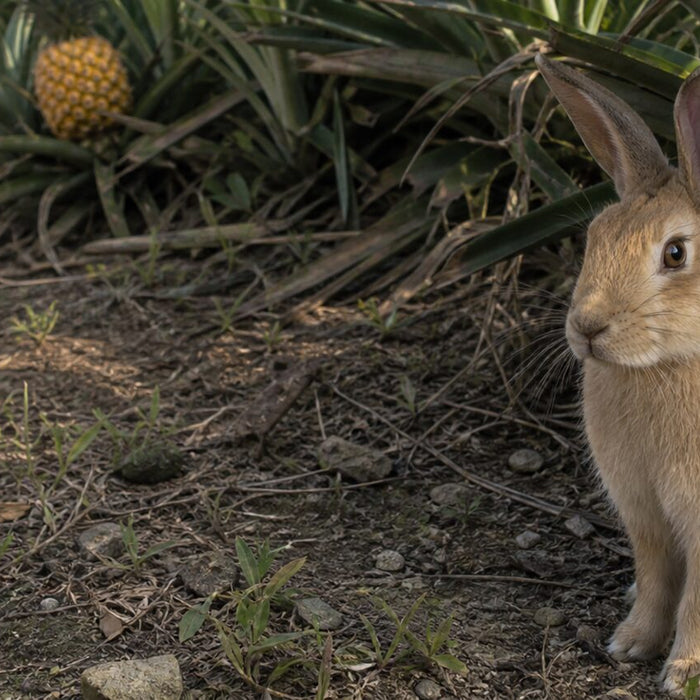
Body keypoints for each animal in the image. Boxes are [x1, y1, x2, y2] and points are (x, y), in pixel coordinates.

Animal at [535, 52, 700, 696]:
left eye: (676, 253)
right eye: (594, 238)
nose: (587, 326)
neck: (669, 364)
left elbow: (696, 603)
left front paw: (681, 674)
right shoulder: (644, 515)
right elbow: (656, 581)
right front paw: (628, 644)